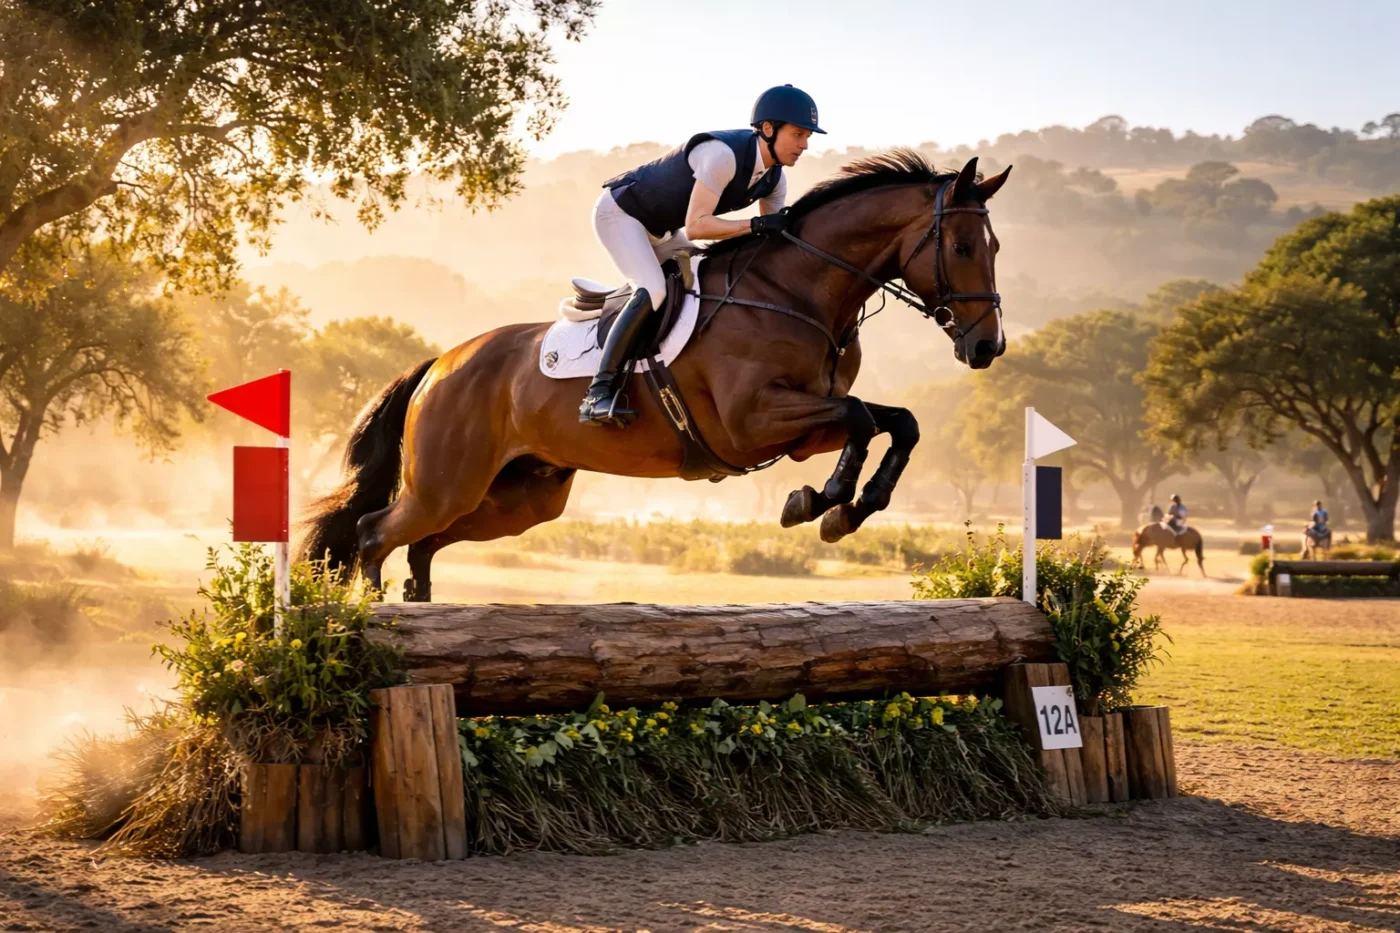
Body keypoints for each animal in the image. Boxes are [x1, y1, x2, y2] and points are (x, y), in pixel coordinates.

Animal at [300, 151, 1010, 601]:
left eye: (995, 247)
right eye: (962, 248)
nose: (986, 348)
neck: (795, 291)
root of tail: (441, 364)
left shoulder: (804, 426)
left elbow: (896, 422)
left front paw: (850, 508)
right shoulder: (753, 423)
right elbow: (863, 417)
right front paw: (821, 502)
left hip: (519, 497)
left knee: (422, 545)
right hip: (447, 483)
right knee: (373, 534)